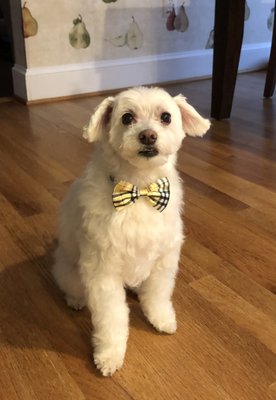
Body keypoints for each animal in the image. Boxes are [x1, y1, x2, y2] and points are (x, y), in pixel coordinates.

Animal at [52, 86, 210, 376]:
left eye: (166, 117)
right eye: (127, 118)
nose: (148, 135)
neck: (141, 190)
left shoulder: (163, 260)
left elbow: (158, 295)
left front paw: (161, 318)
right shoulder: (103, 274)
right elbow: (111, 319)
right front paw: (109, 354)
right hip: (71, 274)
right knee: (71, 286)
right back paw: (75, 299)